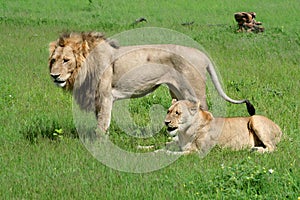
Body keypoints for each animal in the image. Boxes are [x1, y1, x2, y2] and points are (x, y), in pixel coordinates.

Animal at [49, 31, 255, 131]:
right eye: (53, 60)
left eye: (66, 60)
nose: (54, 76)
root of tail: (202, 54)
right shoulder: (96, 97)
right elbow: (99, 119)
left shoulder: (105, 95)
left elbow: (102, 122)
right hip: (177, 90)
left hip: (194, 90)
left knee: (204, 112)